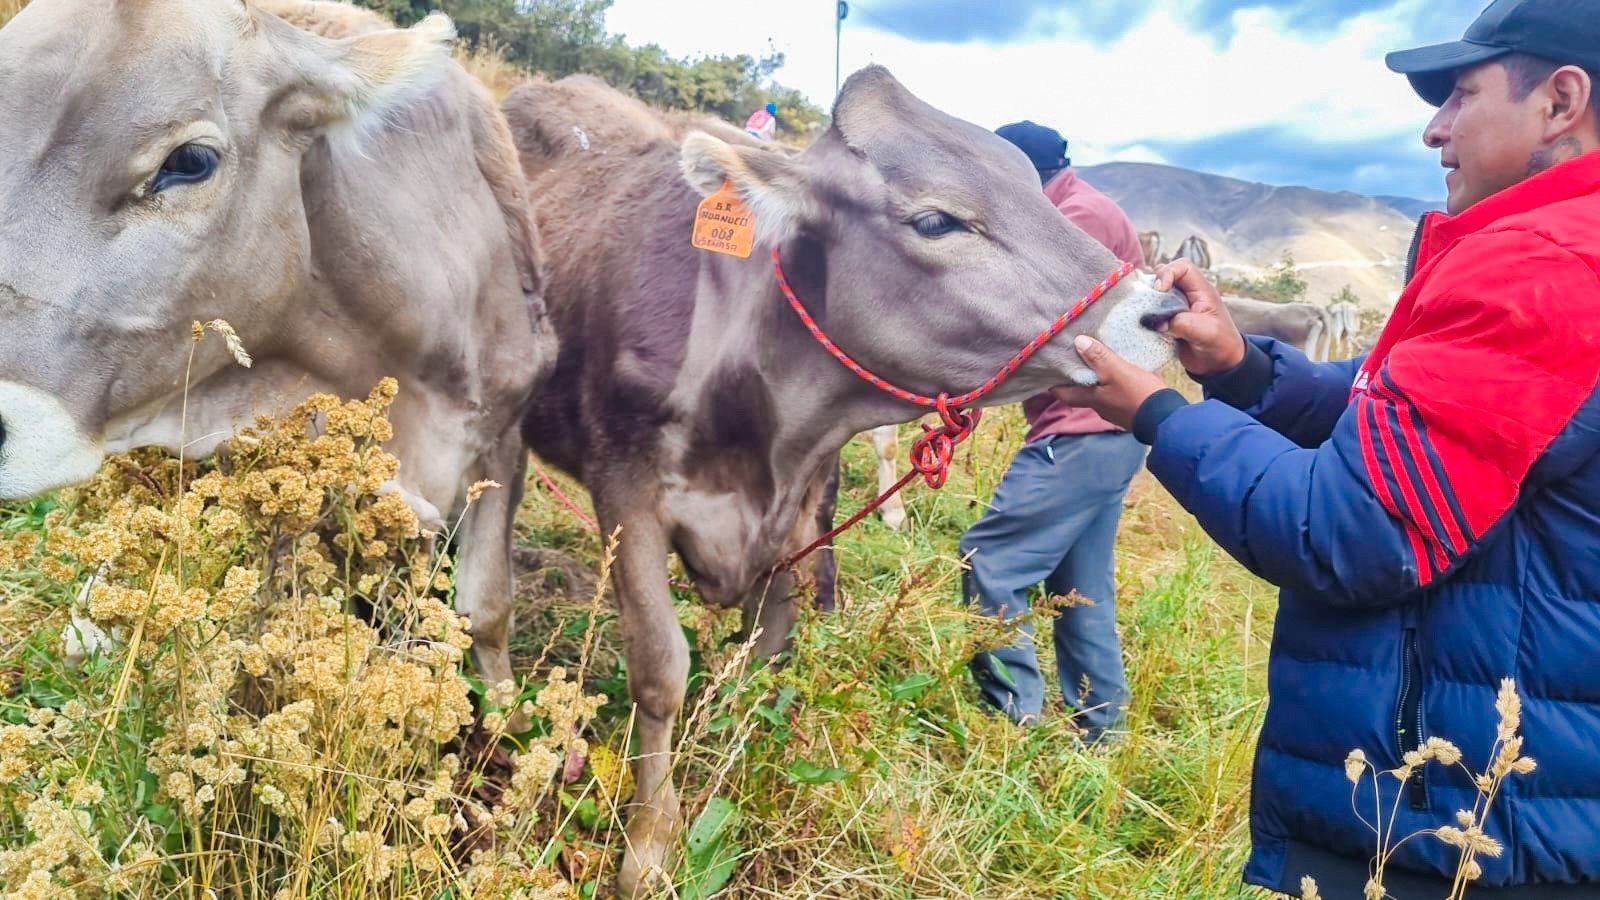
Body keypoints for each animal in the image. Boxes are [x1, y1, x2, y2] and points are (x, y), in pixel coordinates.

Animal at [499, 70, 1190, 890]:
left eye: (1035, 188)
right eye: (936, 220)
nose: (1163, 310)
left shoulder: (797, 509)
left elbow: (766, 656)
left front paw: (733, 772)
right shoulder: (625, 494)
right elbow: (661, 669)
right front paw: (649, 848)